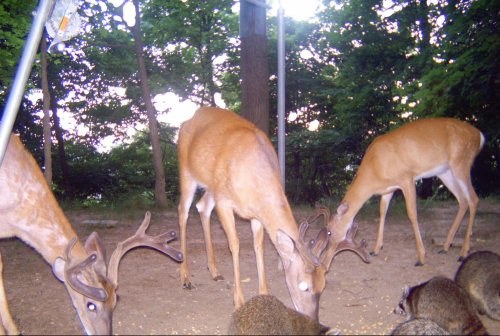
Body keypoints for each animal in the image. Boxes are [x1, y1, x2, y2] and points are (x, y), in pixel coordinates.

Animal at [178, 107, 370, 320]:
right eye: (304, 286)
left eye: (323, 285)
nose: (313, 319)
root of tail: (191, 118)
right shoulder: (225, 202)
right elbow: (235, 244)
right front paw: (238, 300)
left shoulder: (256, 214)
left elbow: (259, 246)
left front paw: (264, 294)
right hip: (187, 171)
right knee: (183, 212)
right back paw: (185, 277)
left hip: (211, 186)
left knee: (202, 207)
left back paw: (214, 271)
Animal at [324, 117, 484, 266]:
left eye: (329, 231)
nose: (327, 253)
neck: (374, 169)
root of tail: (480, 136)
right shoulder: (388, 189)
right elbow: (382, 212)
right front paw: (376, 249)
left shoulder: (407, 178)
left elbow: (412, 214)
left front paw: (421, 257)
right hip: (445, 172)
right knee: (463, 200)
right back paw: (445, 247)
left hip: (461, 162)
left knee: (474, 199)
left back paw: (463, 253)